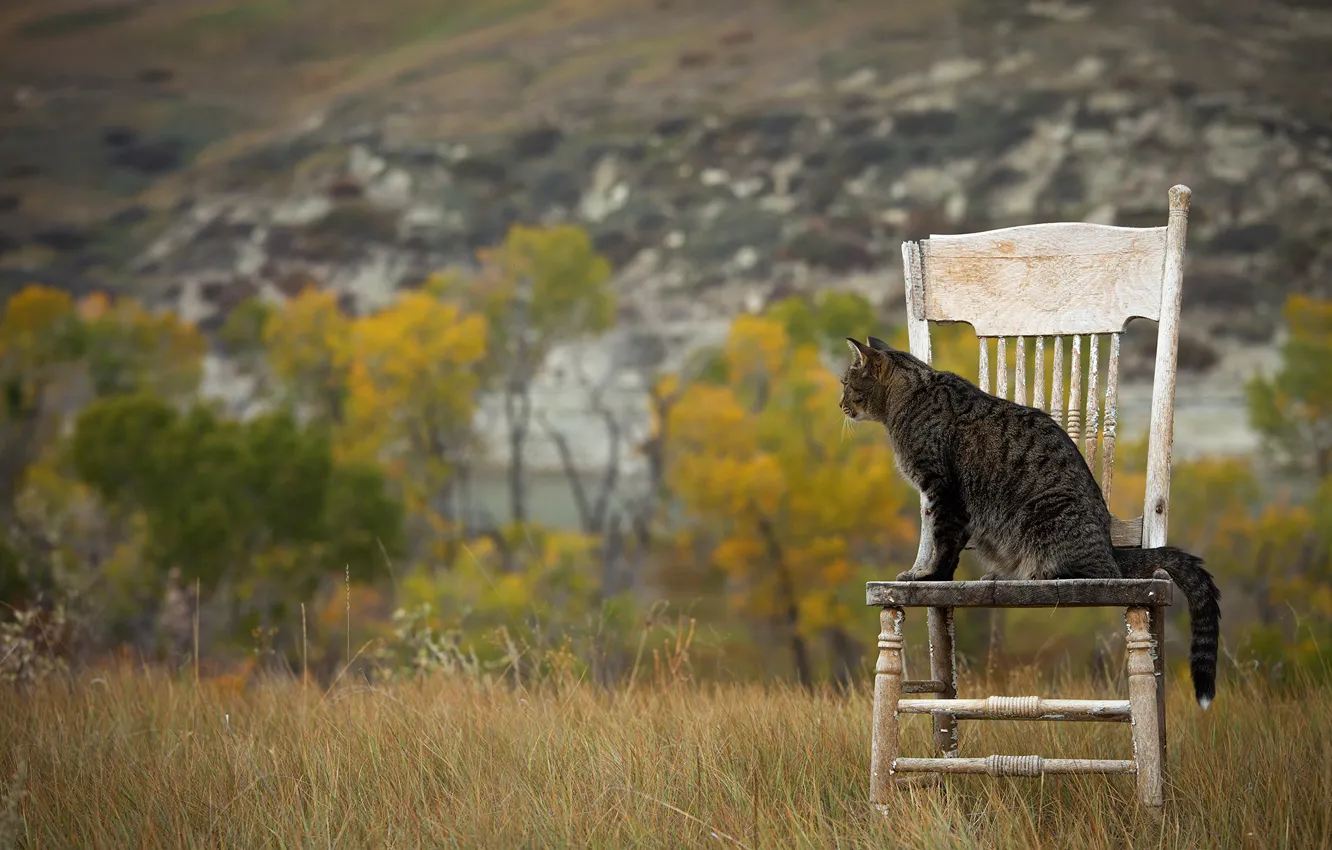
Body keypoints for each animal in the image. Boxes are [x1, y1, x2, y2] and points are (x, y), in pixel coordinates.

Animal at [836, 335, 1220, 708]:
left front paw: (929, 576)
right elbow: (944, 545)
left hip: (1049, 519)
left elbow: (943, 545)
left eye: (846, 384)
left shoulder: (943, 492)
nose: (840, 404)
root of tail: (1112, 548)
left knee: (1093, 570)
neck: (910, 398)